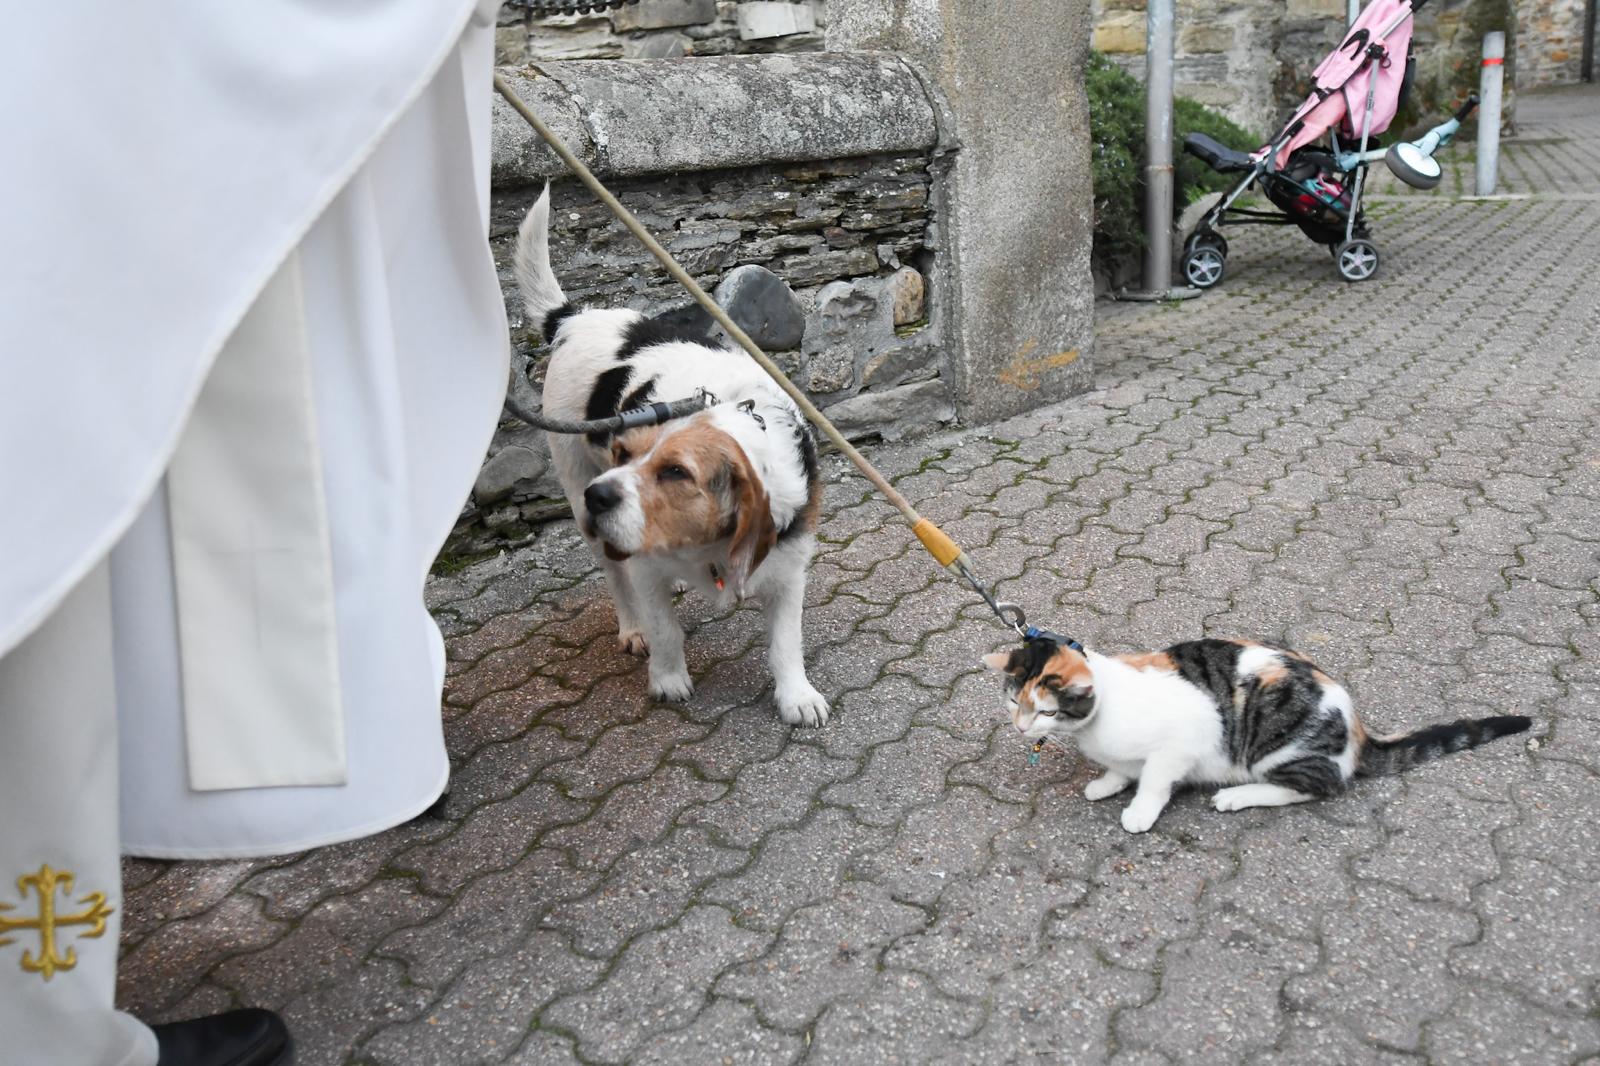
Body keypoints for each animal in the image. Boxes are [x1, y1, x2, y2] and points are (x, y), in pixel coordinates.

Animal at [515, 186, 838, 726]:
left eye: (675, 472)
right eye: (622, 451)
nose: (600, 497)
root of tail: (575, 317)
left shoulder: (790, 568)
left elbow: (786, 641)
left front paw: (796, 695)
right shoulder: (645, 564)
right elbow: (662, 624)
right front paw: (667, 679)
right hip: (577, 489)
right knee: (616, 576)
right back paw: (632, 626)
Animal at [979, 630, 1529, 832]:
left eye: (1045, 712)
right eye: (1012, 701)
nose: (1020, 725)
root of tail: (1357, 728)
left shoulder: (1184, 739)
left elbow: (1155, 778)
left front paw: (1139, 810)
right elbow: (1123, 769)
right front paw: (1109, 782)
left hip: (1277, 746)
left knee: (1319, 785)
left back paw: (1238, 796)